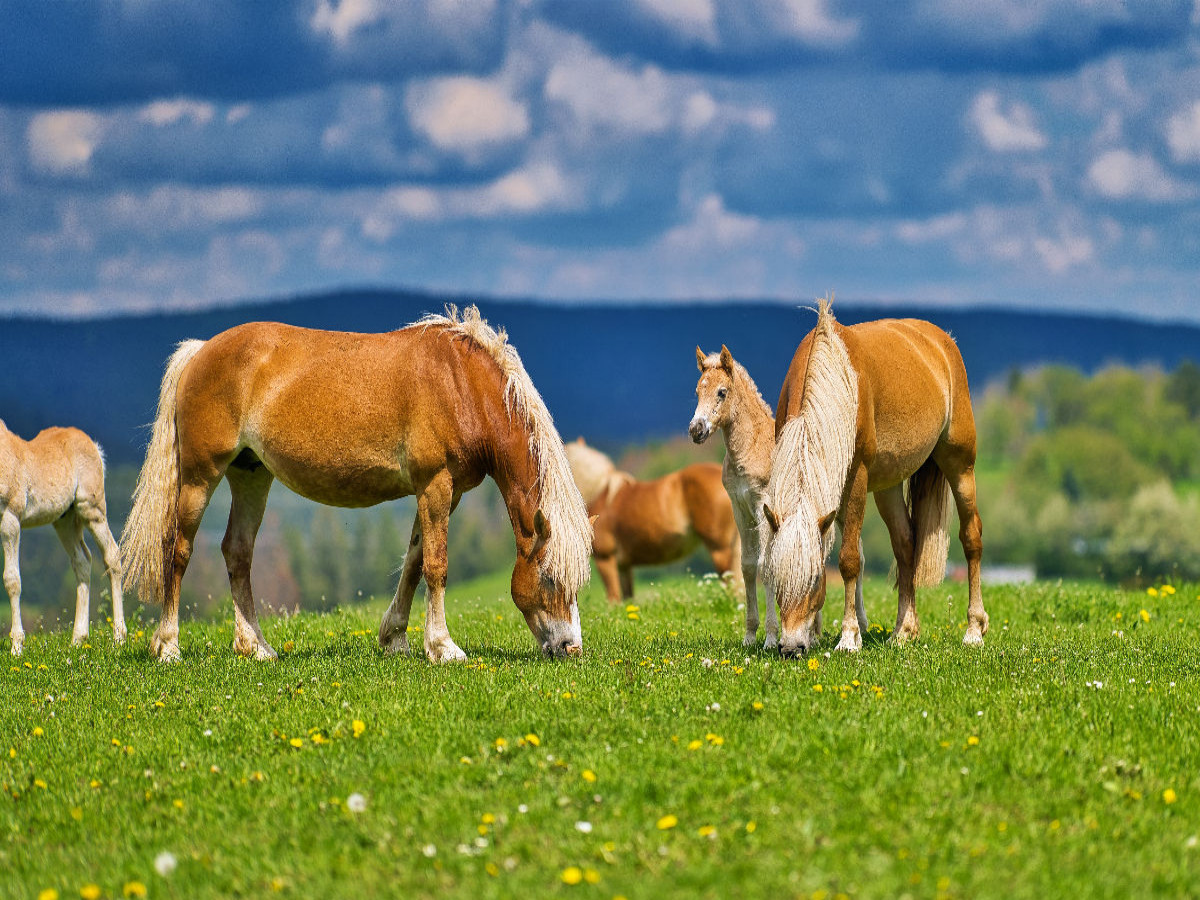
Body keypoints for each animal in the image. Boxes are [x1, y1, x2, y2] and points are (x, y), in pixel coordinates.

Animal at [121, 307, 590, 667]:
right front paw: (443, 648)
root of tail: (200, 350)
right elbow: (436, 565)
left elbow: (415, 561)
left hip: (250, 475)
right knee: (178, 549)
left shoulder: (446, 492)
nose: (571, 647)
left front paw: (395, 639)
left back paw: (255, 647)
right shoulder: (435, 485)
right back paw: (168, 647)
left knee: (237, 552)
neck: (461, 384)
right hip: (200, 477)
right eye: (550, 579)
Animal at [758, 300, 984, 657]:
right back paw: (904, 632)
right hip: (889, 487)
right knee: (906, 545)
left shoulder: (856, 480)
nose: (791, 648)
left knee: (971, 536)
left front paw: (849, 638)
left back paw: (974, 630)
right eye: (778, 578)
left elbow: (849, 559)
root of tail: (942, 341)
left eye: (816, 580)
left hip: (961, 465)